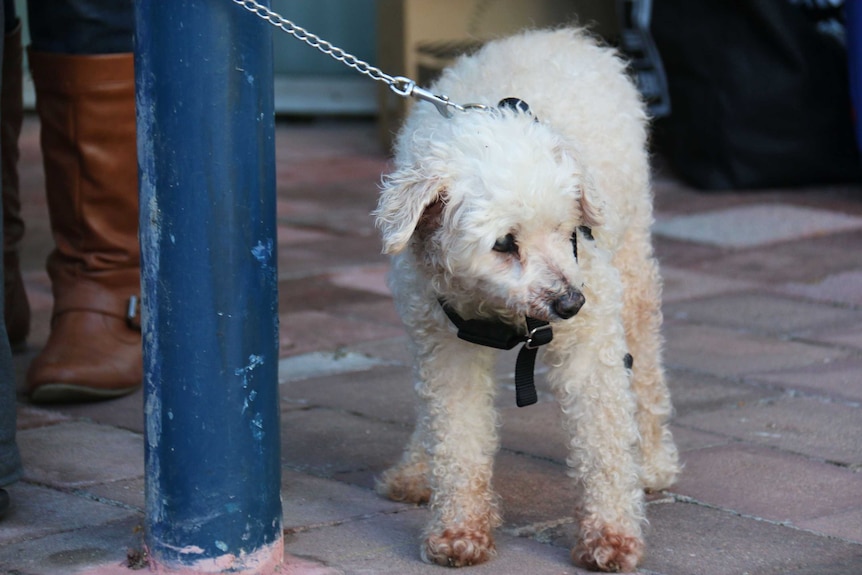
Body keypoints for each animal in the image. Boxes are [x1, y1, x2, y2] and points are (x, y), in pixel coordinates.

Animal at [374, 27, 680, 572]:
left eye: (567, 228)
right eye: (504, 243)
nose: (571, 304)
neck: (492, 309)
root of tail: (560, 35)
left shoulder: (591, 342)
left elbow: (603, 442)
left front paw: (612, 535)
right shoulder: (443, 345)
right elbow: (456, 435)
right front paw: (458, 530)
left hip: (632, 265)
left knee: (644, 368)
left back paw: (653, 461)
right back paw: (415, 469)